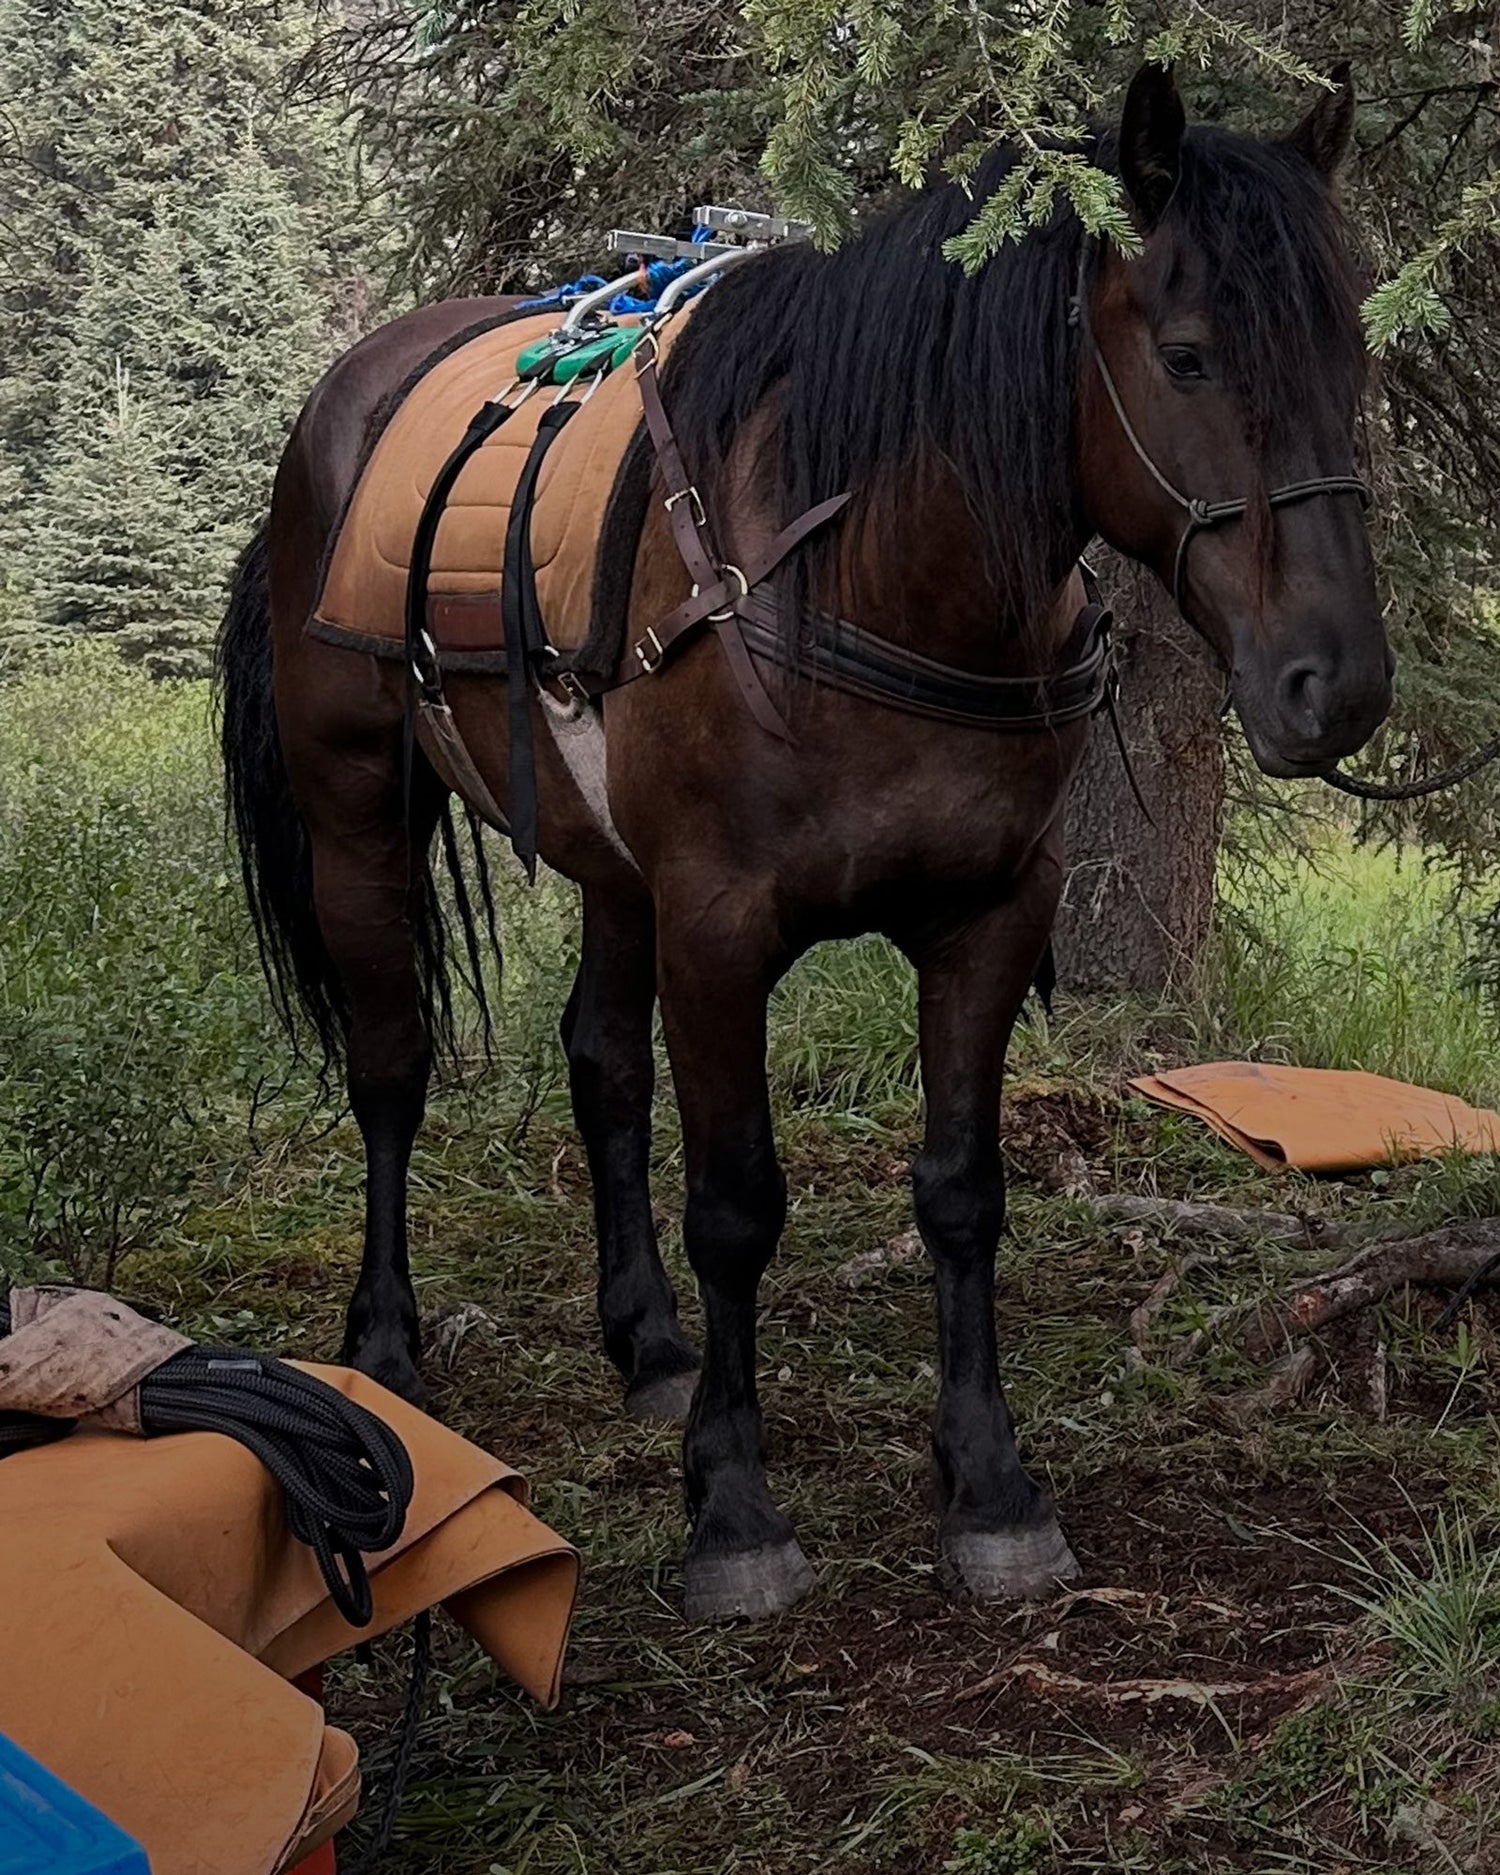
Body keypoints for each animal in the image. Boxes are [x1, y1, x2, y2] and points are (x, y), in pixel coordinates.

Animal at [219, 66, 1395, 1620]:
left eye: (1353, 360)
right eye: (1191, 357)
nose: (1341, 687)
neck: (869, 572)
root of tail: (340, 404)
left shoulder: (988, 919)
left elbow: (961, 1194)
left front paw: (990, 1485)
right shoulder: (721, 928)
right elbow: (736, 1205)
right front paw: (733, 1507)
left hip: (614, 871)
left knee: (601, 1064)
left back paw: (649, 1341)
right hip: (359, 811)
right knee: (393, 1067)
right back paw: (387, 1343)